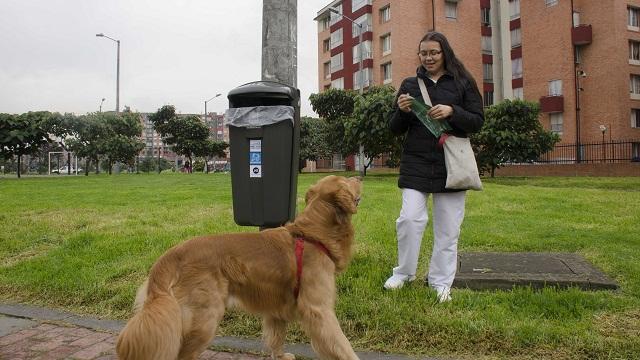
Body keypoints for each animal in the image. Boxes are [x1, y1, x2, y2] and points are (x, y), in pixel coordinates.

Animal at [117, 176, 362, 358]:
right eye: (346, 181)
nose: (359, 177)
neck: (311, 235)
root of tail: (172, 254)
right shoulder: (318, 310)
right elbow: (341, 344)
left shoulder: (276, 307)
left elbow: (277, 339)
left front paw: (281, 356)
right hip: (205, 319)